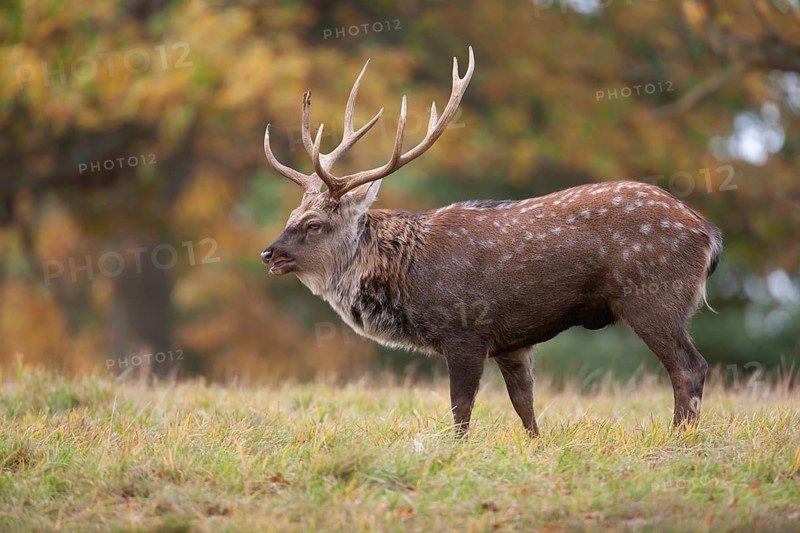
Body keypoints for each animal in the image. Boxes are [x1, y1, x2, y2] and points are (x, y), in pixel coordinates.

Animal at [260, 47, 723, 437]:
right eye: (291, 216)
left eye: (314, 224)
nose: (269, 252)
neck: (407, 275)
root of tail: (708, 234)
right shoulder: (513, 342)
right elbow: (525, 406)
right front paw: (536, 448)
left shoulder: (467, 329)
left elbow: (460, 409)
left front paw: (456, 452)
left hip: (653, 295)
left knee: (690, 367)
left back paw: (678, 439)